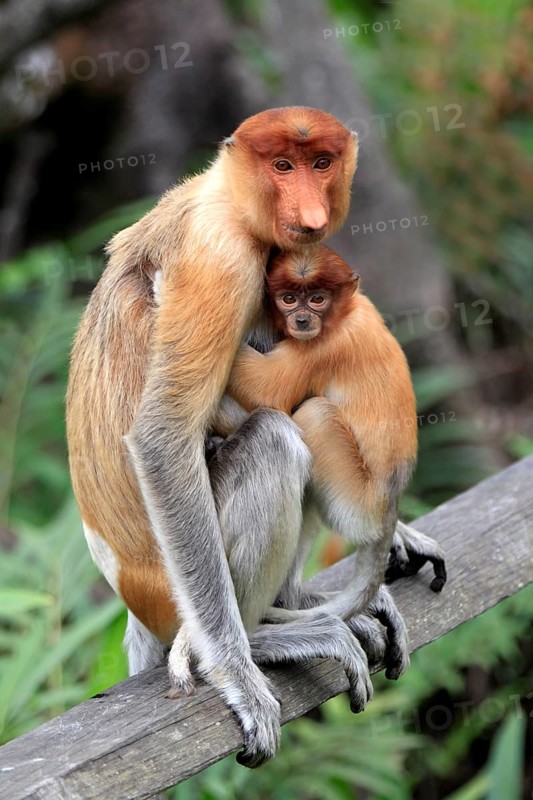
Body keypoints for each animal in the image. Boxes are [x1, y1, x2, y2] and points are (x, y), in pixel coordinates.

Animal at [66, 107, 445, 768]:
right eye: (282, 166)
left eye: (322, 163)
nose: (310, 211)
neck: (230, 199)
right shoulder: (222, 261)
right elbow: (164, 438)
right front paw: (239, 676)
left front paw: (402, 534)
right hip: (170, 594)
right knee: (276, 436)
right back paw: (266, 636)